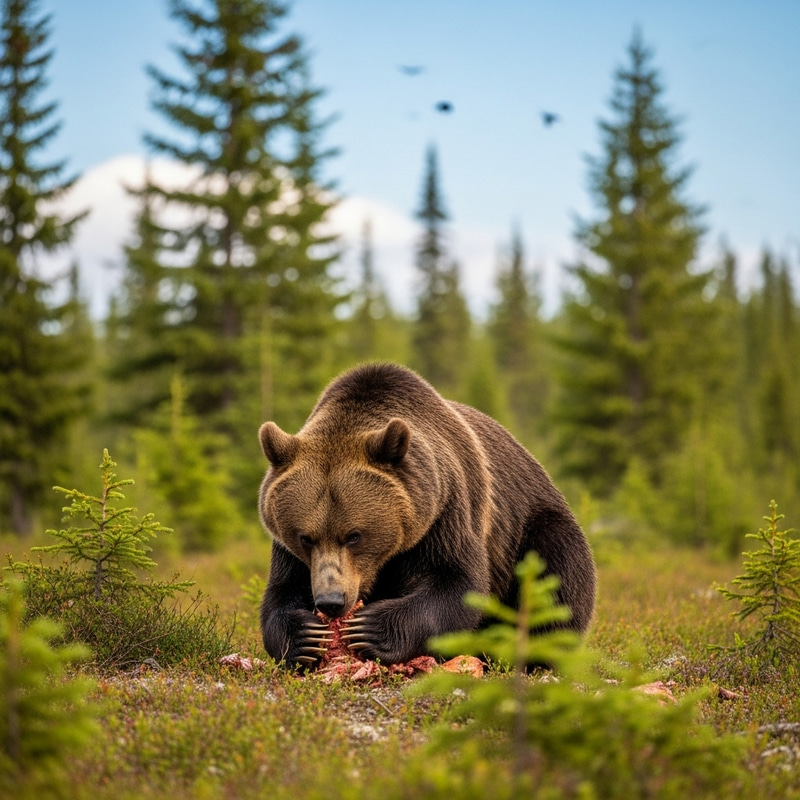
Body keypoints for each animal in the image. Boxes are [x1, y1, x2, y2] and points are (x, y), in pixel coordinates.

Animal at [257, 362, 596, 667]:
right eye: (306, 538)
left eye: (354, 536)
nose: (331, 601)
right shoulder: (289, 550)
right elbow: (281, 592)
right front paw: (305, 636)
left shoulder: (445, 511)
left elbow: (455, 583)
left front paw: (370, 629)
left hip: (531, 524)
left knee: (557, 571)